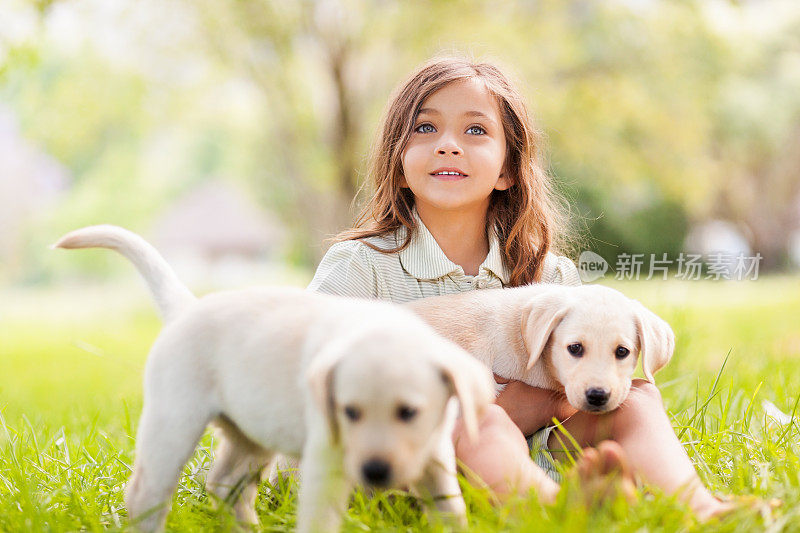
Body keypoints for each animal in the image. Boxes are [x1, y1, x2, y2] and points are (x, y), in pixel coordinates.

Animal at [53, 225, 494, 532]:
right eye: (349, 413)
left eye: (409, 413)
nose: (374, 472)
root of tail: (187, 309)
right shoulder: (326, 462)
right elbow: (320, 520)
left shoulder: (436, 459)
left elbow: (451, 510)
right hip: (173, 421)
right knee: (148, 493)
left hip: (250, 432)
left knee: (224, 485)